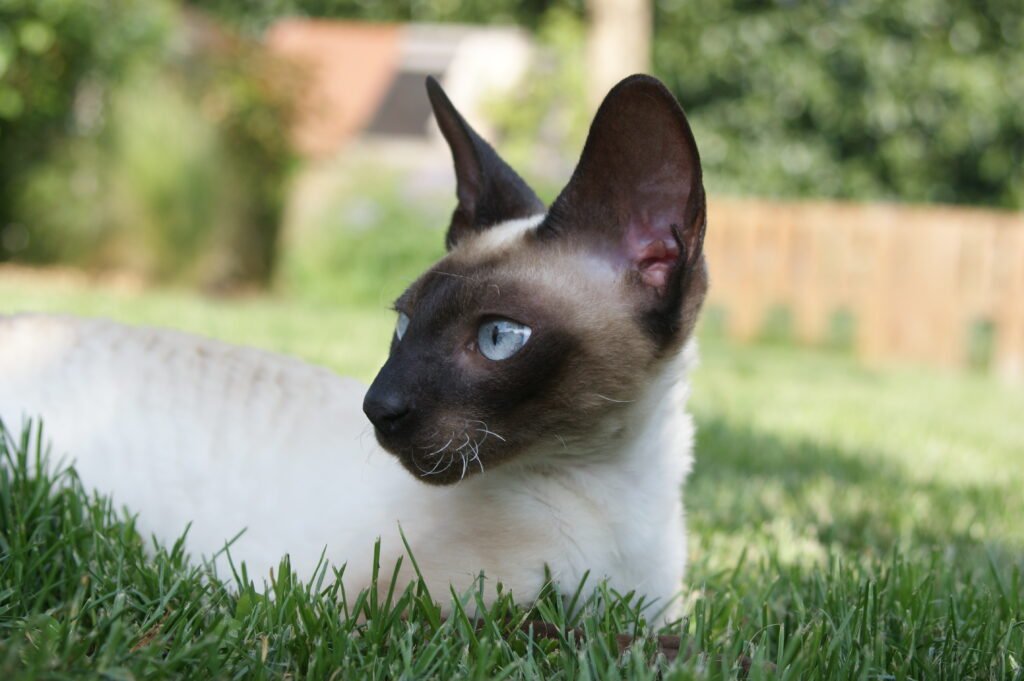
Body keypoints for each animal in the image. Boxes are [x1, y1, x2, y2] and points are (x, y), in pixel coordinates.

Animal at [0, 75, 704, 622]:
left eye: (499, 338)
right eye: (403, 325)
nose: (378, 407)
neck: (619, 489)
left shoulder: (657, 613)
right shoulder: (406, 613)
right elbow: (581, 633)